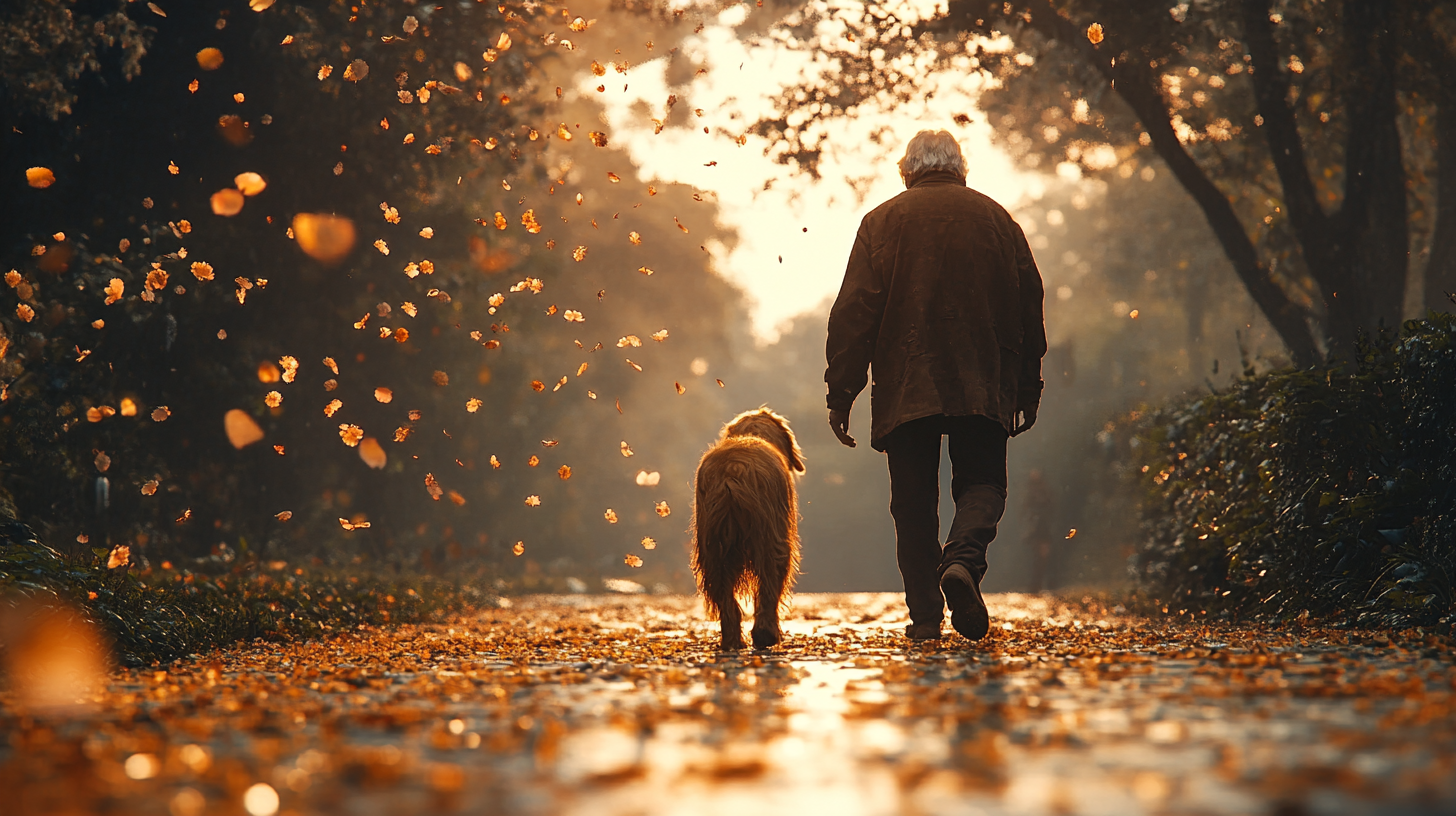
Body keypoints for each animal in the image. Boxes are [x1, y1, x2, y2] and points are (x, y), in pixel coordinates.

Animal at [687, 408, 803, 649]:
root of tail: (731, 471)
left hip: (712, 546)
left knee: (724, 595)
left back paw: (733, 641)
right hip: (771, 537)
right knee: (770, 582)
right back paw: (766, 635)